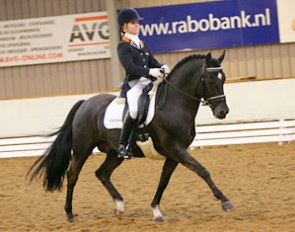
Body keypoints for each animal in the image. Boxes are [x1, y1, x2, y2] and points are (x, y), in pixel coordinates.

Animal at [28, 51, 235, 222]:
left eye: (223, 78)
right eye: (209, 80)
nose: (223, 112)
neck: (174, 105)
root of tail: (85, 103)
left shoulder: (174, 154)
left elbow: (164, 181)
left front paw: (156, 211)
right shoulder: (174, 148)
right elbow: (202, 171)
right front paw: (225, 201)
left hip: (114, 153)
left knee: (102, 173)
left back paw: (119, 207)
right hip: (82, 149)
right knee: (72, 175)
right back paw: (70, 213)